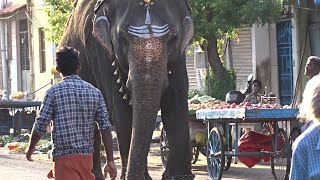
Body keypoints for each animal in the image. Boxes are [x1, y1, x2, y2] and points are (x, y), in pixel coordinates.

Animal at [58, 0, 194, 179]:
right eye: (122, 38)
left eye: (173, 37)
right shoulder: (102, 52)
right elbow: (121, 105)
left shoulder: (179, 57)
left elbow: (176, 99)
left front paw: (178, 177)